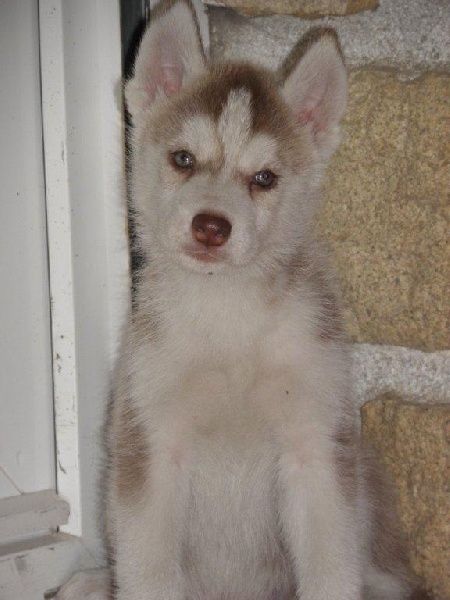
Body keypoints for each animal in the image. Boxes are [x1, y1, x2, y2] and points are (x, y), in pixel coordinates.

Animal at [55, 1, 422, 600]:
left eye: (264, 178)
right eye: (183, 158)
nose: (211, 226)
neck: (228, 315)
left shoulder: (316, 446)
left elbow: (330, 566)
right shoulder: (151, 443)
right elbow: (148, 571)